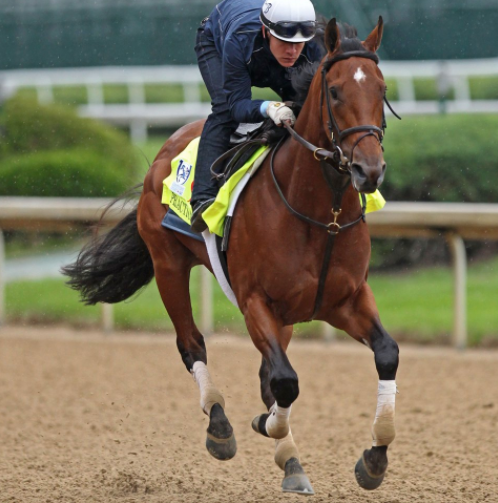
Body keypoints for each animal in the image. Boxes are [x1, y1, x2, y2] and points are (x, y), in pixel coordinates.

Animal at [62, 16, 398, 496]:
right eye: (335, 92)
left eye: (382, 89)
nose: (367, 170)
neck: (324, 216)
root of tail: (165, 149)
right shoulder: (255, 301)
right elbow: (285, 381)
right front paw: (269, 430)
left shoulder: (344, 300)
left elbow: (385, 353)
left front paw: (374, 457)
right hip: (168, 265)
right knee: (192, 344)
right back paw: (220, 426)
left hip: (286, 316)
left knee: (265, 374)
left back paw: (287, 456)